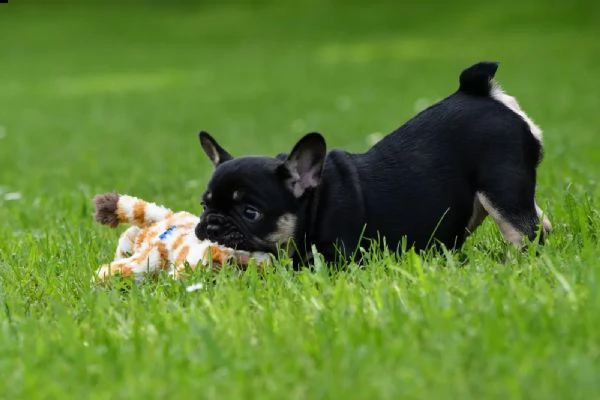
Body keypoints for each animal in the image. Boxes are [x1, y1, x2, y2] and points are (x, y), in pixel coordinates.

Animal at [196, 61, 552, 264]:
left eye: (250, 213)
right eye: (204, 205)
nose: (212, 223)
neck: (314, 202)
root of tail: (482, 91)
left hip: (502, 189)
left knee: (523, 231)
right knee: (540, 221)